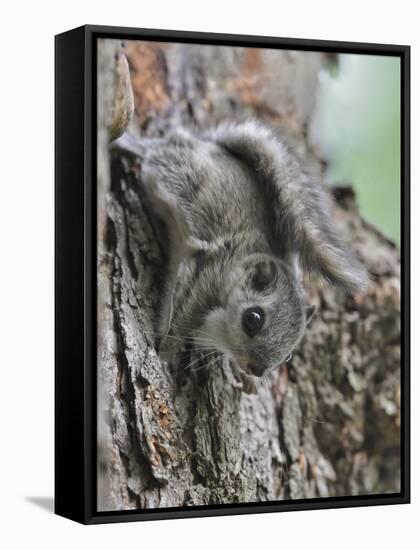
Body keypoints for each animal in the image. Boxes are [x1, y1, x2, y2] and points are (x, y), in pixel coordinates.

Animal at [114, 121, 368, 380]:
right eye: (253, 319)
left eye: (289, 355)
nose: (257, 370)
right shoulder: (206, 277)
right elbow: (180, 317)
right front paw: (165, 354)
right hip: (177, 173)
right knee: (154, 151)